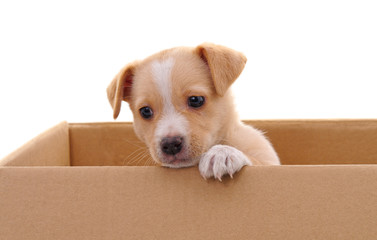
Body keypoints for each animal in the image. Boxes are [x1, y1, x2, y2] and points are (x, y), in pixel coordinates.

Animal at [106, 42, 280, 180]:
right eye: (145, 111)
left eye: (196, 100)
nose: (170, 144)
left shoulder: (269, 161)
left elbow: (257, 161)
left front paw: (223, 153)